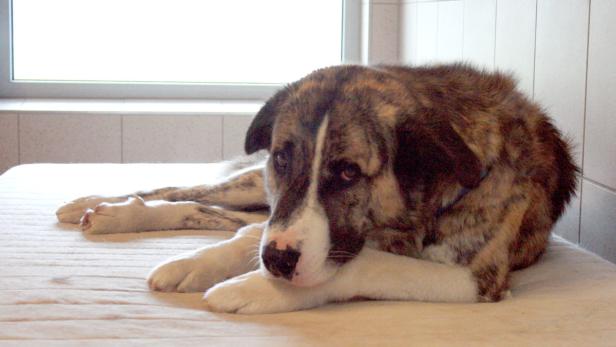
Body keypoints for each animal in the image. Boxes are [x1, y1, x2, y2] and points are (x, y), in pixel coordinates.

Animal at [56, 64, 576, 316]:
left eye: (347, 173)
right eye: (284, 158)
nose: (278, 262)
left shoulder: (476, 278)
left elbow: (364, 264)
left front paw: (255, 288)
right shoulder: (279, 211)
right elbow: (251, 239)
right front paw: (200, 263)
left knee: (219, 215)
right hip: (252, 186)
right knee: (192, 193)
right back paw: (102, 206)